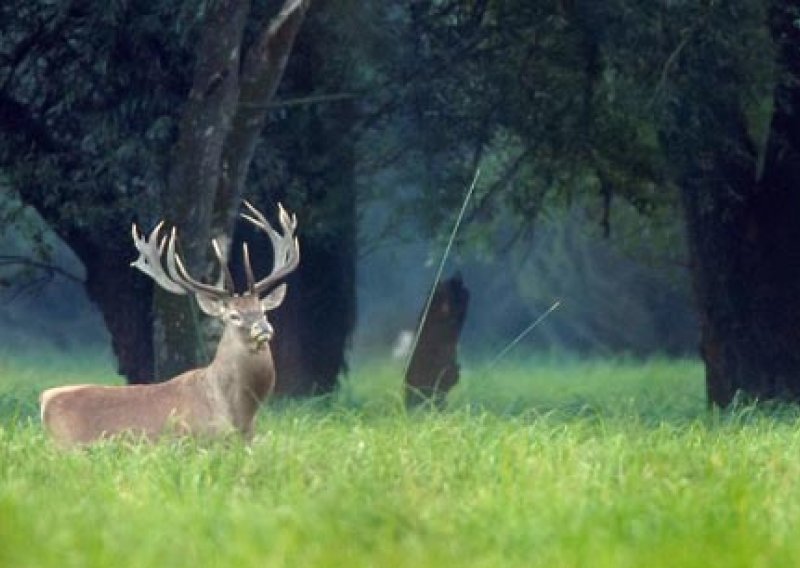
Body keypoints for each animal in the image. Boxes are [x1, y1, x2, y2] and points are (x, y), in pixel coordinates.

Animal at [39, 202, 300, 446]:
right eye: (233, 315)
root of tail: (44, 401)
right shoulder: (195, 438)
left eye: (264, 311)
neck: (239, 414)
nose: (263, 329)